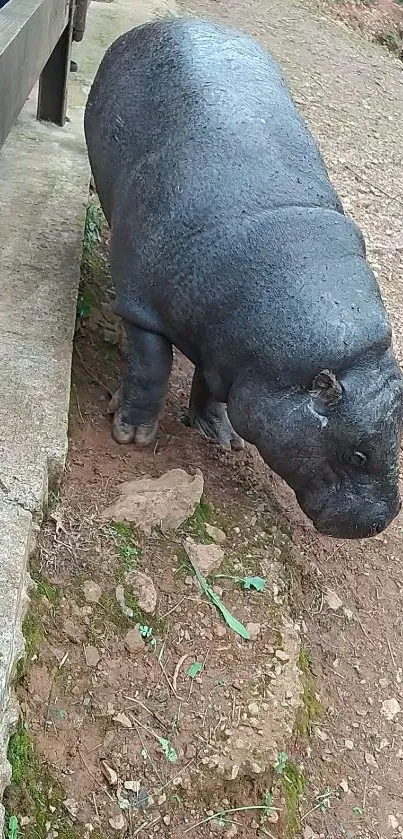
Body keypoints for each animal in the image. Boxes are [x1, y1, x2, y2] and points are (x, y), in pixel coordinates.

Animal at [85, 18, 403, 540]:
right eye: (357, 453)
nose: (380, 521)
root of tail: (168, 21)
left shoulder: (233, 355)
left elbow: (214, 389)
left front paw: (220, 437)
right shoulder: (144, 309)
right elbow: (152, 367)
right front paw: (132, 435)